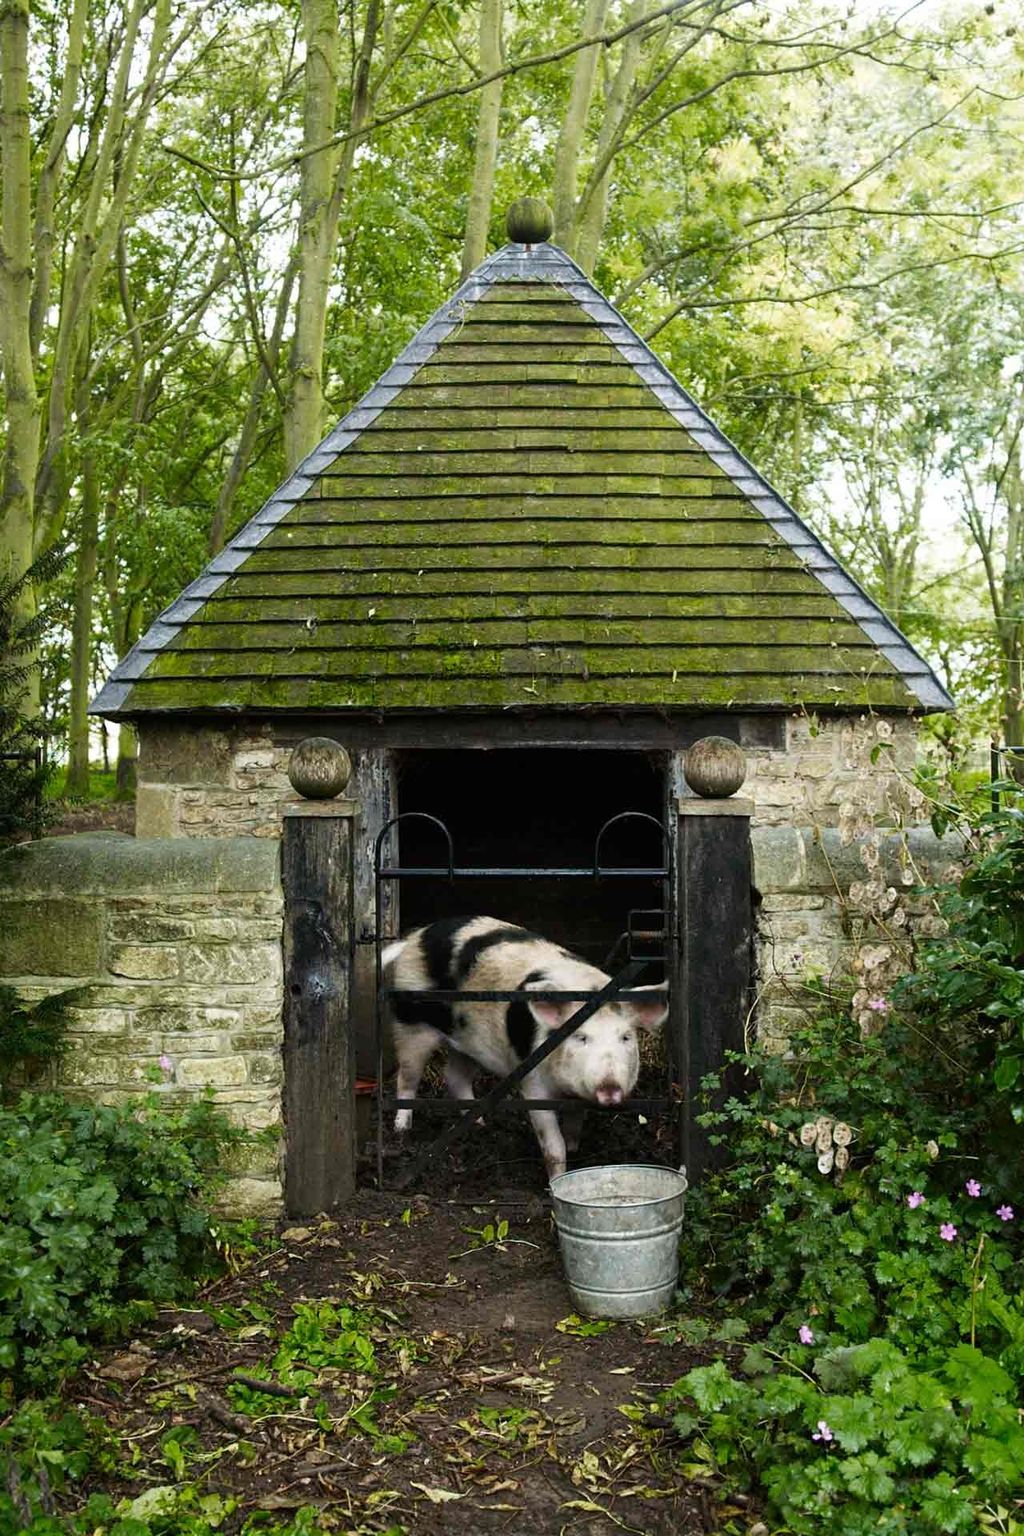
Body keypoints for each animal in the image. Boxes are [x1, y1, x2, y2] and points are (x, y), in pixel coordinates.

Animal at [382, 915, 668, 1179]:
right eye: (581, 1037)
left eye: (626, 1037)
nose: (610, 1088)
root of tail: (415, 938)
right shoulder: (533, 1084)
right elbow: (553, 1146)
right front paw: (556, 1181)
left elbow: (574, 1125)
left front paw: (574, 1147)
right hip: (410, 1023)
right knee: (406, 1078)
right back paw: (402, 1129)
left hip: (467, 1042)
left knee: (455, 1076)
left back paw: (480, 1125)